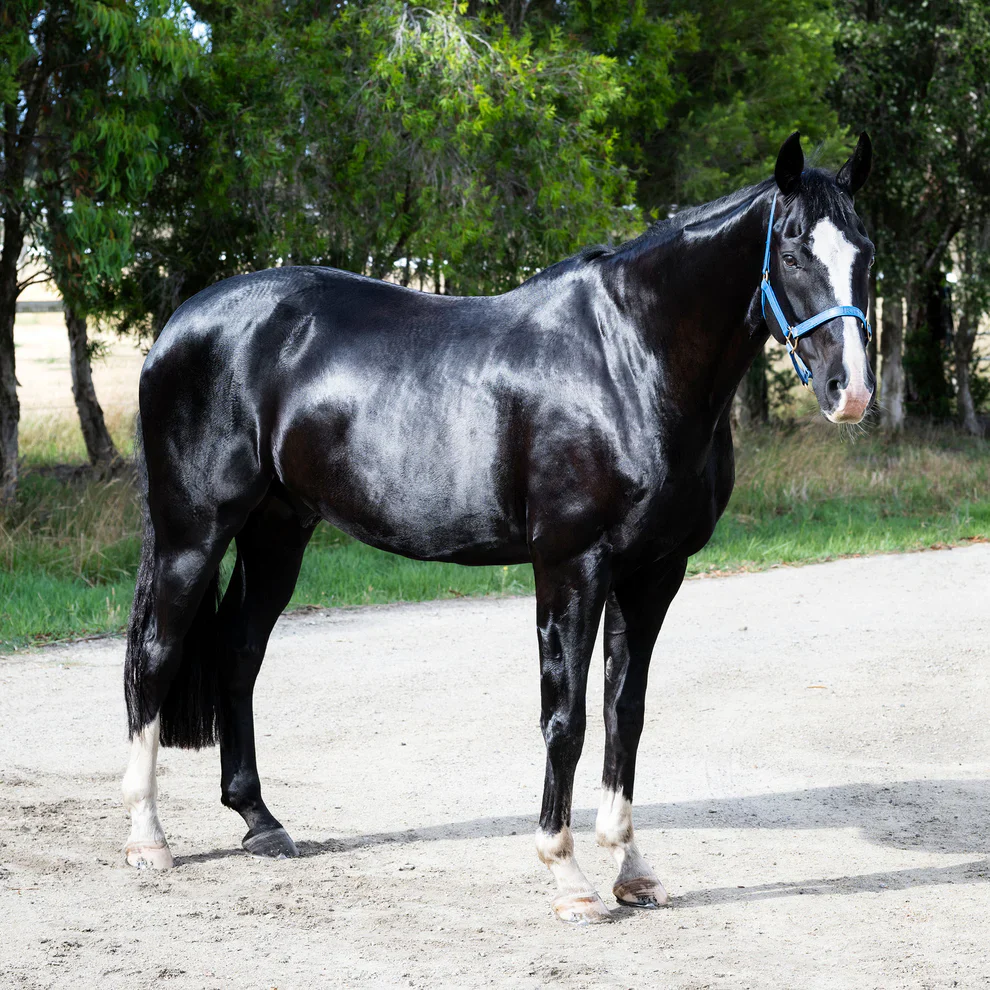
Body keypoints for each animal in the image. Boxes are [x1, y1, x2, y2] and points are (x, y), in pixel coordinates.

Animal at [121, 131, 876, 924]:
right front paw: (568, 876)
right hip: (192, 533)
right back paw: (148, 838)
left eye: (865, 251)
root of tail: (179, 326)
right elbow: (565, 717)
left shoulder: (654, 573)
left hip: (276, 532)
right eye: (792, 251)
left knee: (239, 653)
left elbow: (626, 714)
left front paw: (632, 869)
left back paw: (260, 822)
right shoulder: (571, 565)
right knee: (155, 655)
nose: (850, 391)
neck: (628, 362)